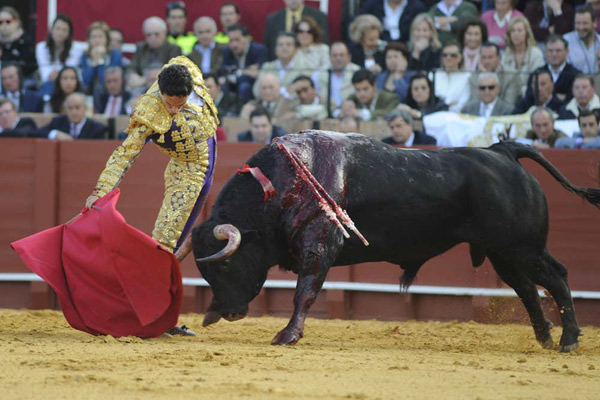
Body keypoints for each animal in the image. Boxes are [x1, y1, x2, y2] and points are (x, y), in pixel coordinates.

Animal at [192, 131, 600, 350]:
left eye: (225, 263)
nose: (228, 312)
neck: (280, 183)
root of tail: (502, 151)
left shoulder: (320, 244)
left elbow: (305, 290)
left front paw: (287, 334)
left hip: (523, 248)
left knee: (557, 277)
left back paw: (569, 340)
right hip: (505, 254)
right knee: (528, 289)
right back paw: (546, 337)